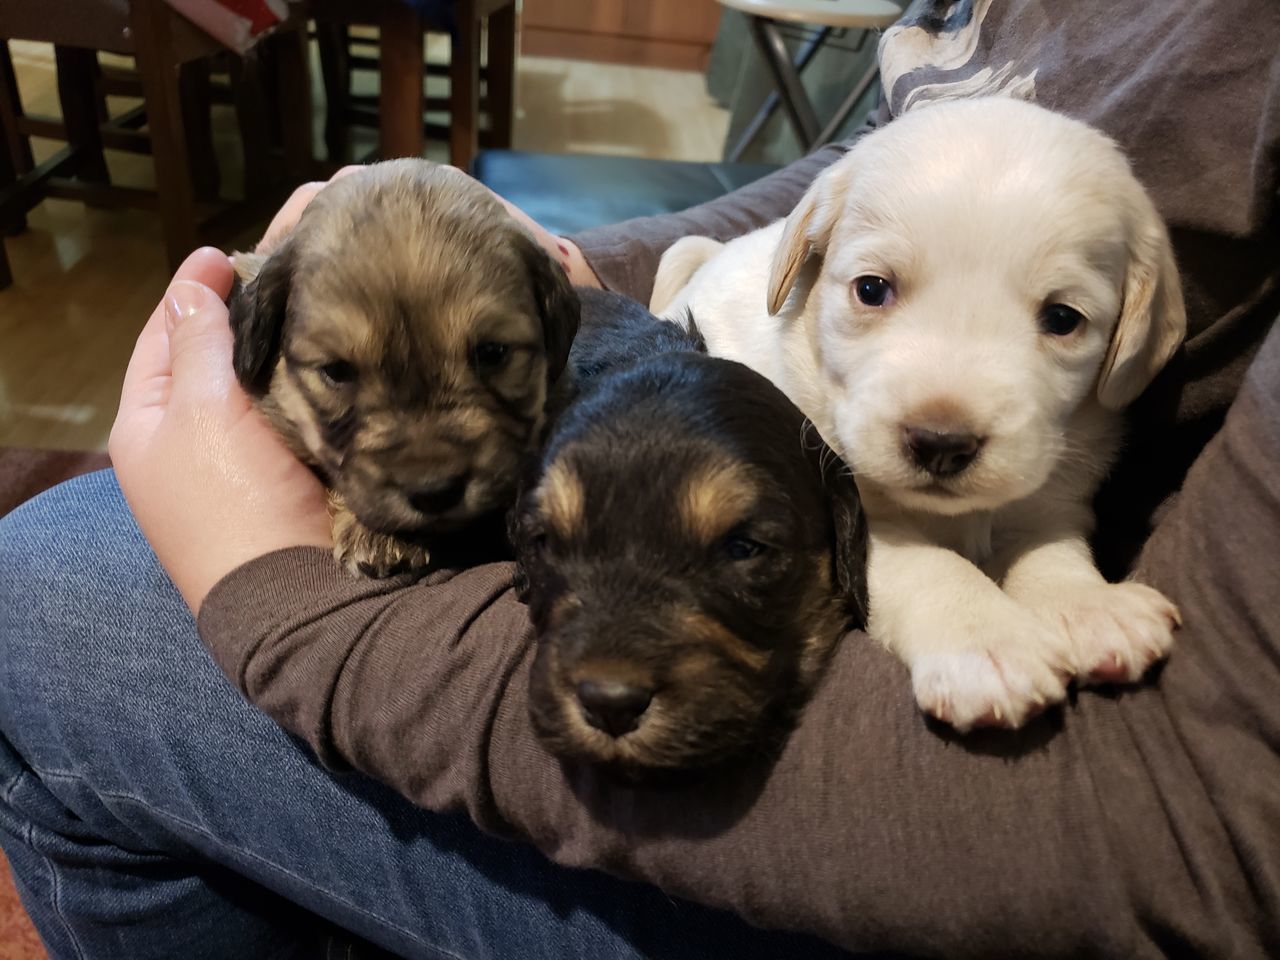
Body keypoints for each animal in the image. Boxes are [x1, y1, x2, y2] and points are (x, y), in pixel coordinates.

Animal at [660, 96, 1187, 727]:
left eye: (1063, 319)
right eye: (871, 289)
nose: (941, 443)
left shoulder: (1052, 499)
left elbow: (1052, 550)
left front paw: (1088, 606)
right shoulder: (848, 524)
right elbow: (929, 566)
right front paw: (988, 643)